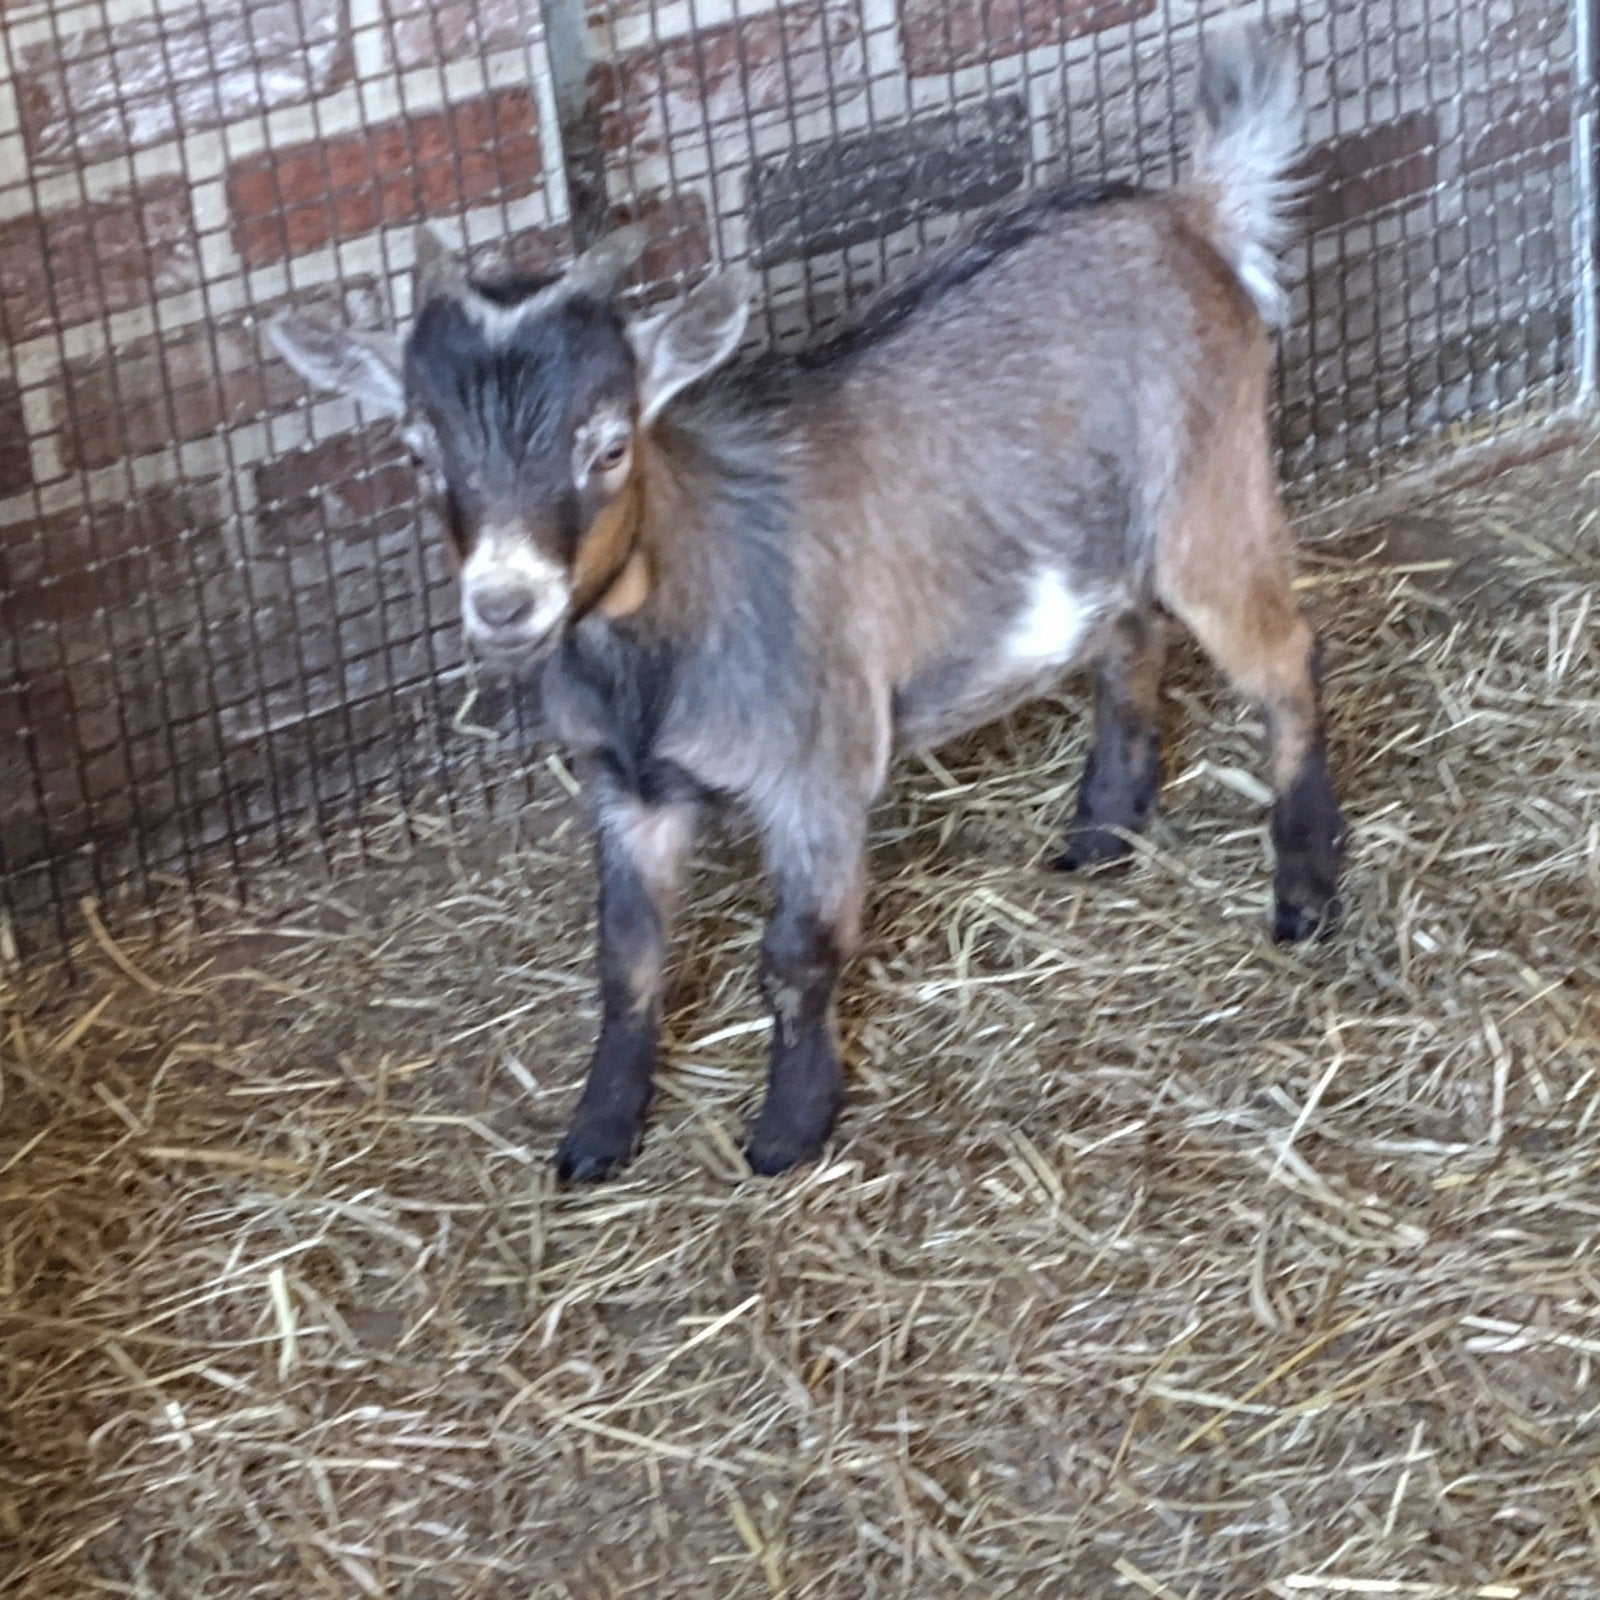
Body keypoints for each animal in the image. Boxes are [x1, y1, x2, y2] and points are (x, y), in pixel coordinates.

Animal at [271, 21, 1344, 1182]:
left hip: (1210, 487)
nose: (506, 602)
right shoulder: (626, 788)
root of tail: (1191, 213)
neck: (670, 627)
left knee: (1284, 649)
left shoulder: (817, 772)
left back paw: (1305, 889)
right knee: (1130, 627)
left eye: (608, 445)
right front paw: (598, 1132)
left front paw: (791, 1125)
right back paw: (1102, 828)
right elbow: (625, 958)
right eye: (420, 454)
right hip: (1103, 531)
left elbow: (797, 952)